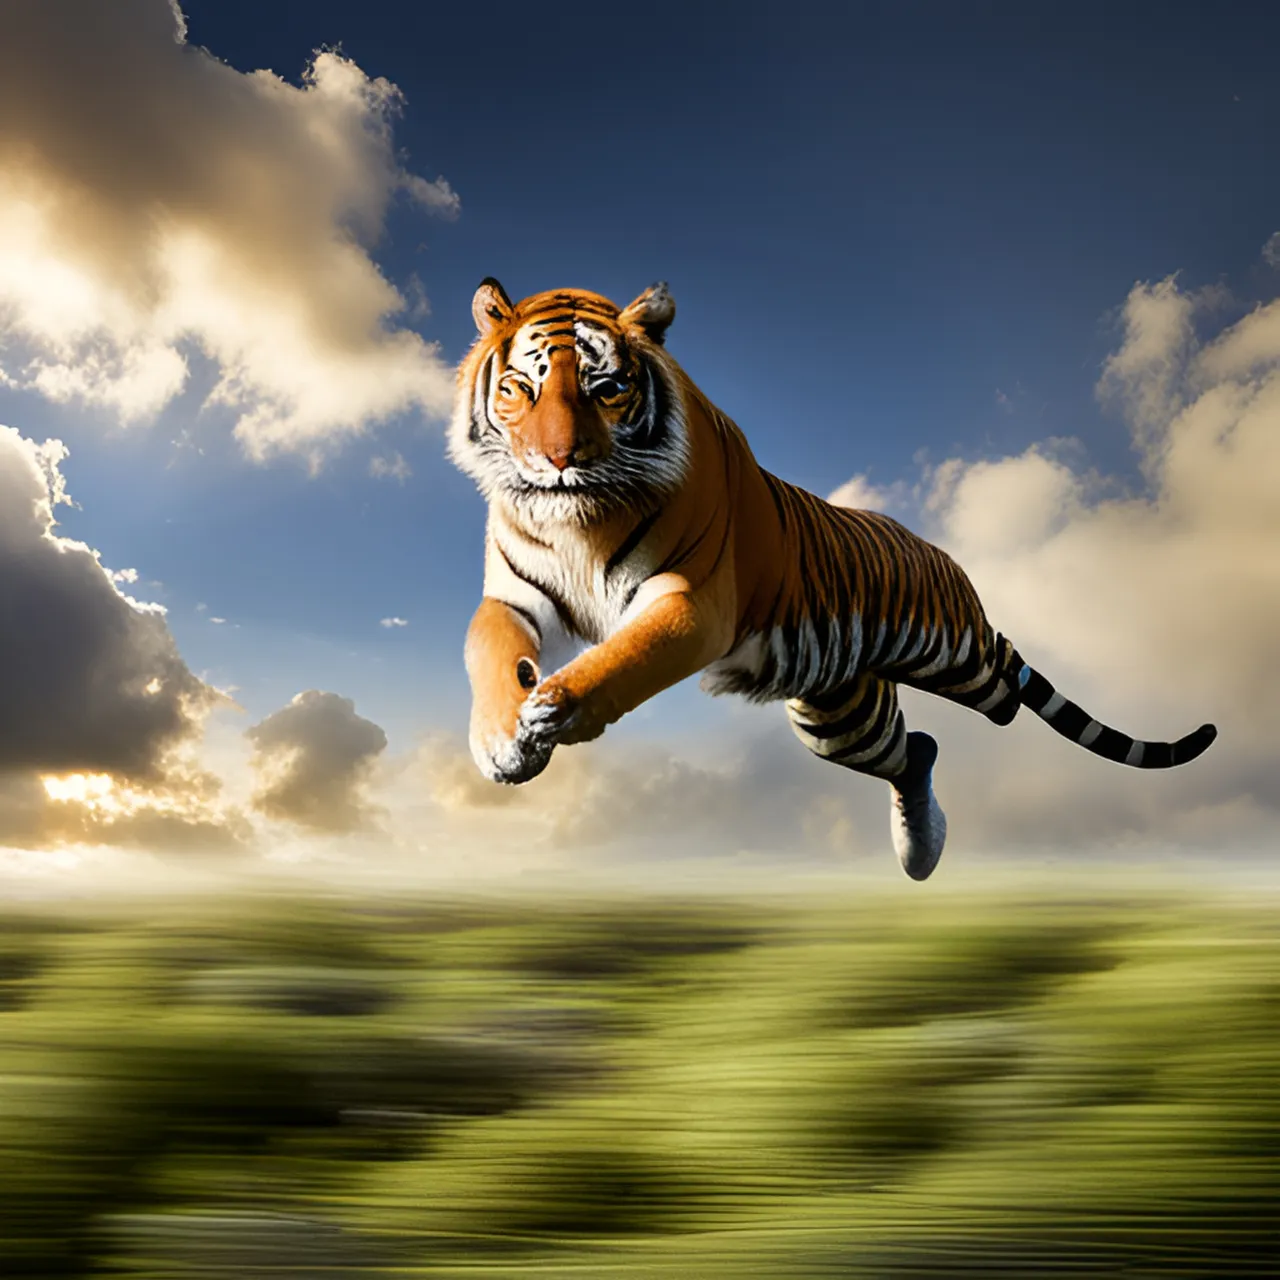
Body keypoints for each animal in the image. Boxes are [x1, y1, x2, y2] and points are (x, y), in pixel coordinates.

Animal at [450, 279, 1218, 880]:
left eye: (607, 390)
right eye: (519, 389)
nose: (557, 461)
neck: (576, 522)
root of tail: (936, 553)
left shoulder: (693, 604)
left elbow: (622, 658)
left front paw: (555, 707)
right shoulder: (515, 597)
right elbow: (486, 648)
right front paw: (501, 740)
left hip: (954, 653)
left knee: (1004, 686)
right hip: (839, 714)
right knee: (914, 752)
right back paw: (920, 853)